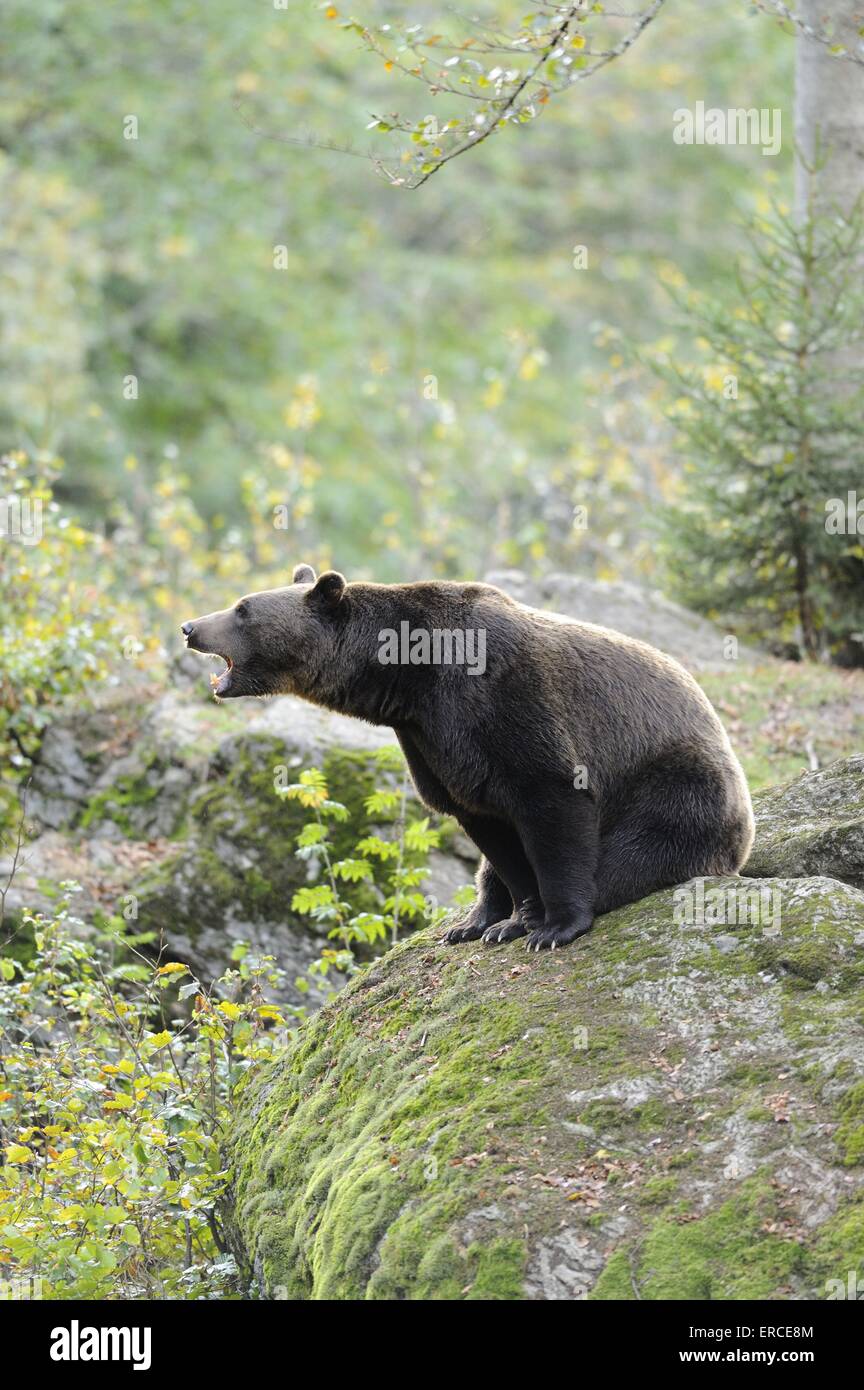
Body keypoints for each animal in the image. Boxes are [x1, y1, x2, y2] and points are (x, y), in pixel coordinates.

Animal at [180, 561, 750, 945]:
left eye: (243, 610)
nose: (190, 627)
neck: (409, 676)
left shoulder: (506, 700)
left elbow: (552, 802)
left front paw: (552, 925)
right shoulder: (434, 741)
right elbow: (486, 823)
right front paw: (513, 919)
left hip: (675, 785)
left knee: (638, 850)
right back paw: (477, 918)